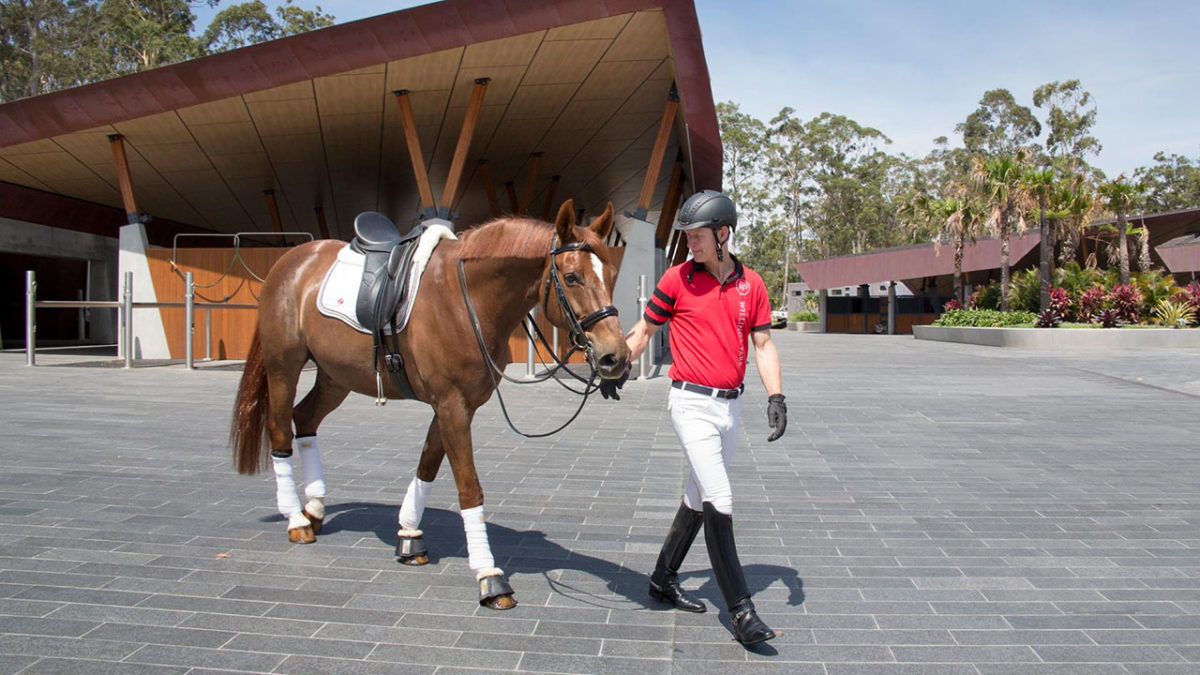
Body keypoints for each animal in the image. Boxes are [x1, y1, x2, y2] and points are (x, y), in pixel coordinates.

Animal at [228, 199, 633, 605]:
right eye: (572, 277)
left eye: (612, 275)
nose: (615, 357)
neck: (467, 301)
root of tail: (291, 260)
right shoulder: (451, 403)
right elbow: (469, 487)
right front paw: (489, 574)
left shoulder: (456, 405)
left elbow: (427, 466)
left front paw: (409, 537)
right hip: (284, 366)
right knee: (281, 430)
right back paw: (296, 520)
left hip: (335, 375)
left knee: (306, 419)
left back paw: (313, 507)